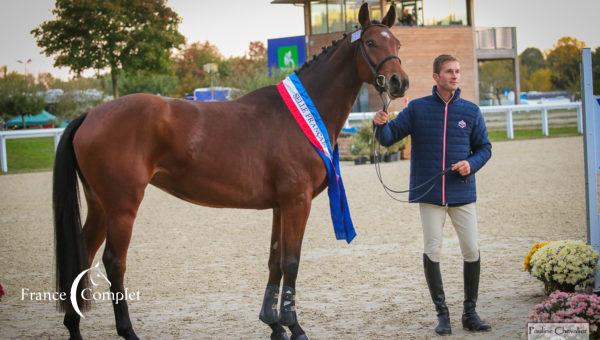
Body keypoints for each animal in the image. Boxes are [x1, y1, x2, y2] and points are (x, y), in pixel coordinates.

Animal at [54, 3, 408, 340]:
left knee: (83, 253)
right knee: (114, 262)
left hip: (100, 205)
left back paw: (74, 327)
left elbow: (275, 261)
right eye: (371, 42)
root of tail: (90, 115)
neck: (298, 116)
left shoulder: (280, 206)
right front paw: (294, 327)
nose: (399, 82)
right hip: (122, 207)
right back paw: (127, 330)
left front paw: (273, 324)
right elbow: (291, 262)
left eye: (398, 42)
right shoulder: (297, 202)